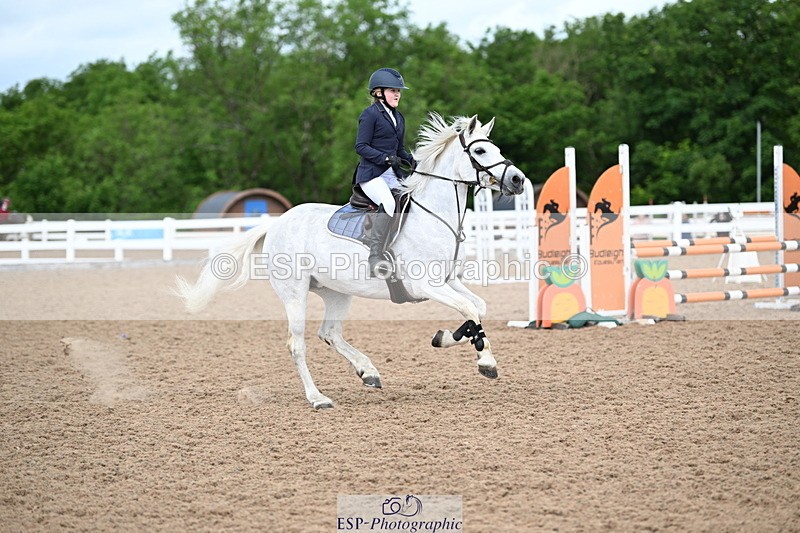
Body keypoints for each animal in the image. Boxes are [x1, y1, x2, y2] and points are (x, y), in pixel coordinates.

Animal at [174, 113, 528, 408]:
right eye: (480, 151)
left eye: (496, 148)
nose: (518, 180)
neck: (434, 216)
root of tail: (276, 223)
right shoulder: (426, 285)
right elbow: (470, 309)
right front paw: (485, 363)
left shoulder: (449, 281)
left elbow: (478, 309)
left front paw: (448, 340)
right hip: (295, 293)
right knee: (297, 345)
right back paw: (318, 398)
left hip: (336, 292)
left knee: (329, 332)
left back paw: (367, 371)